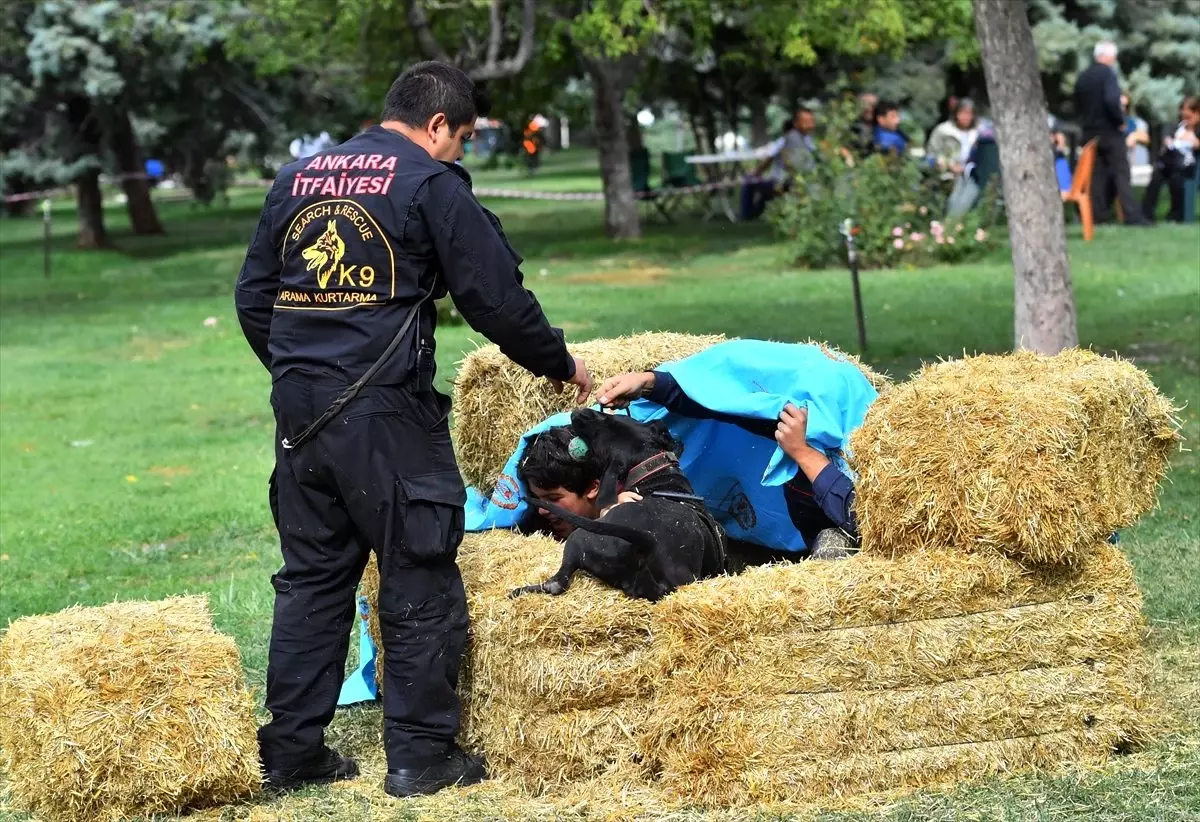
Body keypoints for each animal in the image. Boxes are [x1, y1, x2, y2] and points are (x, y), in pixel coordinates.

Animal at [508, 408, 724, 600]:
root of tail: (649, 541)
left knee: (556, 584)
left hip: (577, 539)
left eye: (608, 422)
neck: (658, 477)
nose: (582, 411)